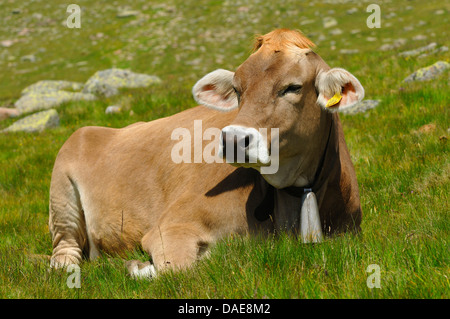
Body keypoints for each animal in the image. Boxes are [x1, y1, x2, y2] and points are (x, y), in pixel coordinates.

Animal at [48, 30, 366, 278]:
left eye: (292, 87)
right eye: (237, 89)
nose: (234, 139)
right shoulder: (170, 227)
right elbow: (180, 268)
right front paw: (139, 266)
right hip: (62, 195)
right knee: (64, 250)